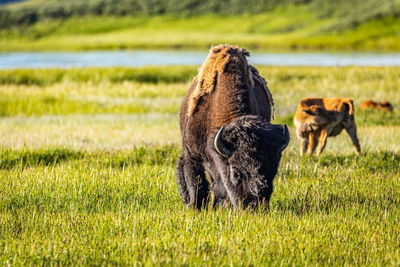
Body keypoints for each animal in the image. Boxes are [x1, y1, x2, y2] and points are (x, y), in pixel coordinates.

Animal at [177, 45, 290, 210]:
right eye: (236, 173)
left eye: (274, 170)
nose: (253, 207)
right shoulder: (192, 155)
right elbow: (195, 185)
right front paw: (195, 207)